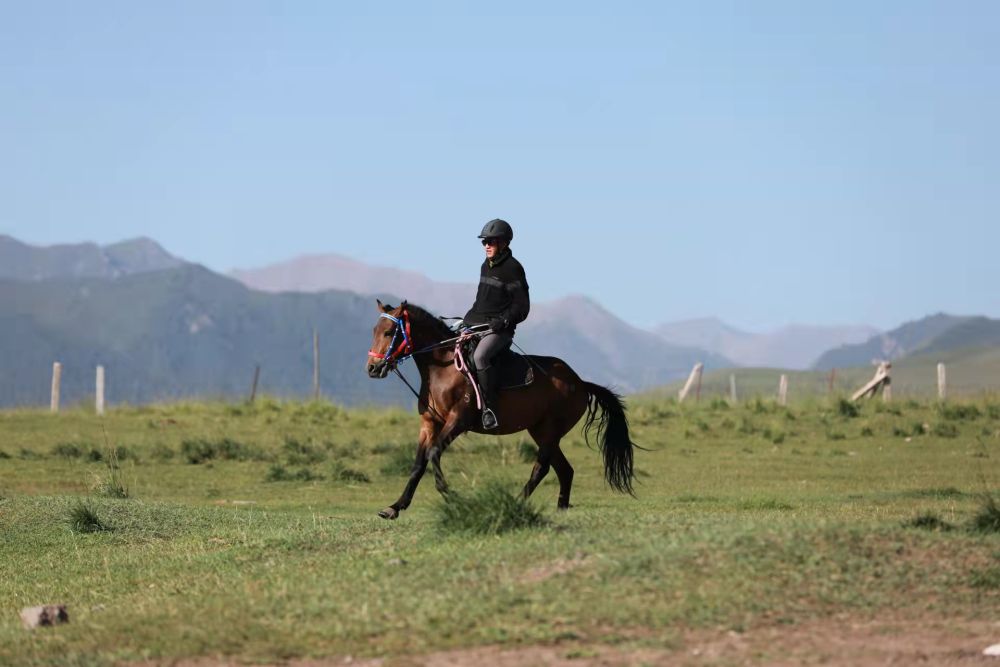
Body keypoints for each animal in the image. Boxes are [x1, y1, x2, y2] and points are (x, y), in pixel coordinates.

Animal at [366, 300, 637, 520]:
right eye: (374, 331)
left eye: (389, 332)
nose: (372, 368)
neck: (443, 369)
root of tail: (580, 383)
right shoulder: (430, 424)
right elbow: (418, 465)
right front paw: (395, 506)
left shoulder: (457, 421)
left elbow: (433, 454)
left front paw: (452, 496)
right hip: (540, 431)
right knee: (564, 470)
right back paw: (560, 508)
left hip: (550, 432)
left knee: (542, 468)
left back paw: (517, 503)